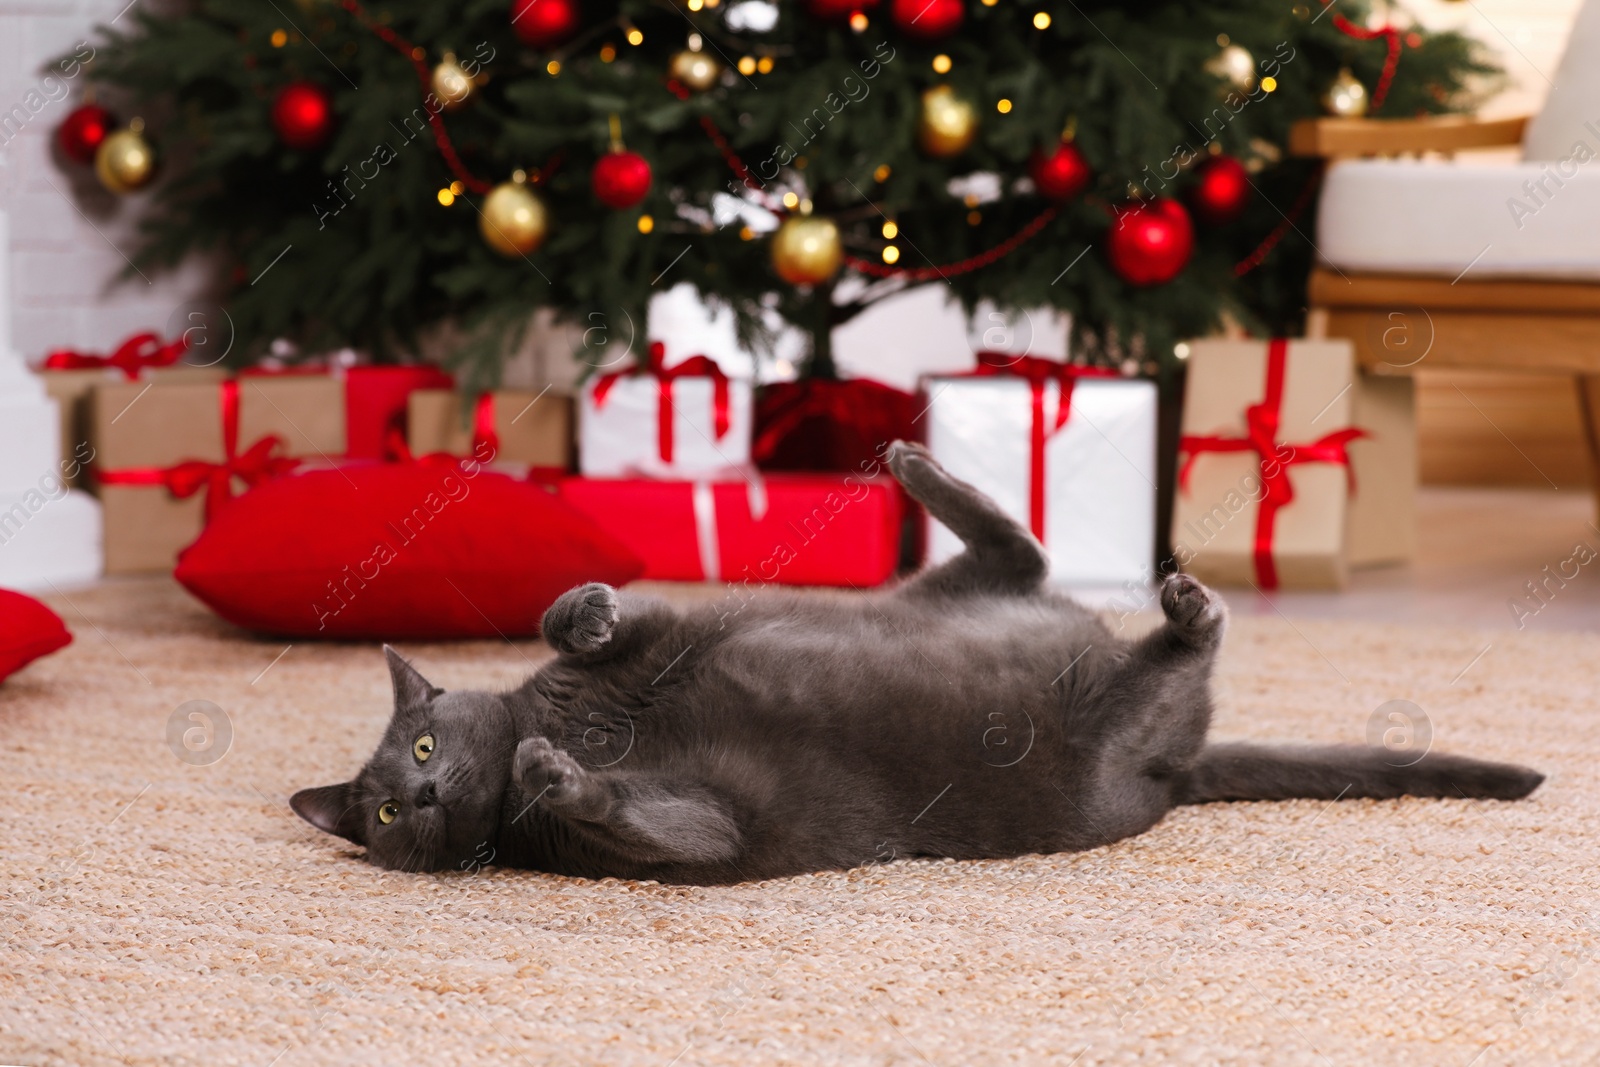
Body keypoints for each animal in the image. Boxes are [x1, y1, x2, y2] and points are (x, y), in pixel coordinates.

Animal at [288, 441, 1536, 883]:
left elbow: (578, 626)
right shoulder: (698, 831)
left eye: (424, 740)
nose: (424, 794)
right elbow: (648, 814)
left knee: (1023, 552)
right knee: (1170, 641)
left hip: (938, 597)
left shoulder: (663, 636)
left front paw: (582, 618)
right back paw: (1180, 607)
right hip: (1094, 733)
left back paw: (913, 461)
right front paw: (553, 771)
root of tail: (1180, 770)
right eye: (387, 811)